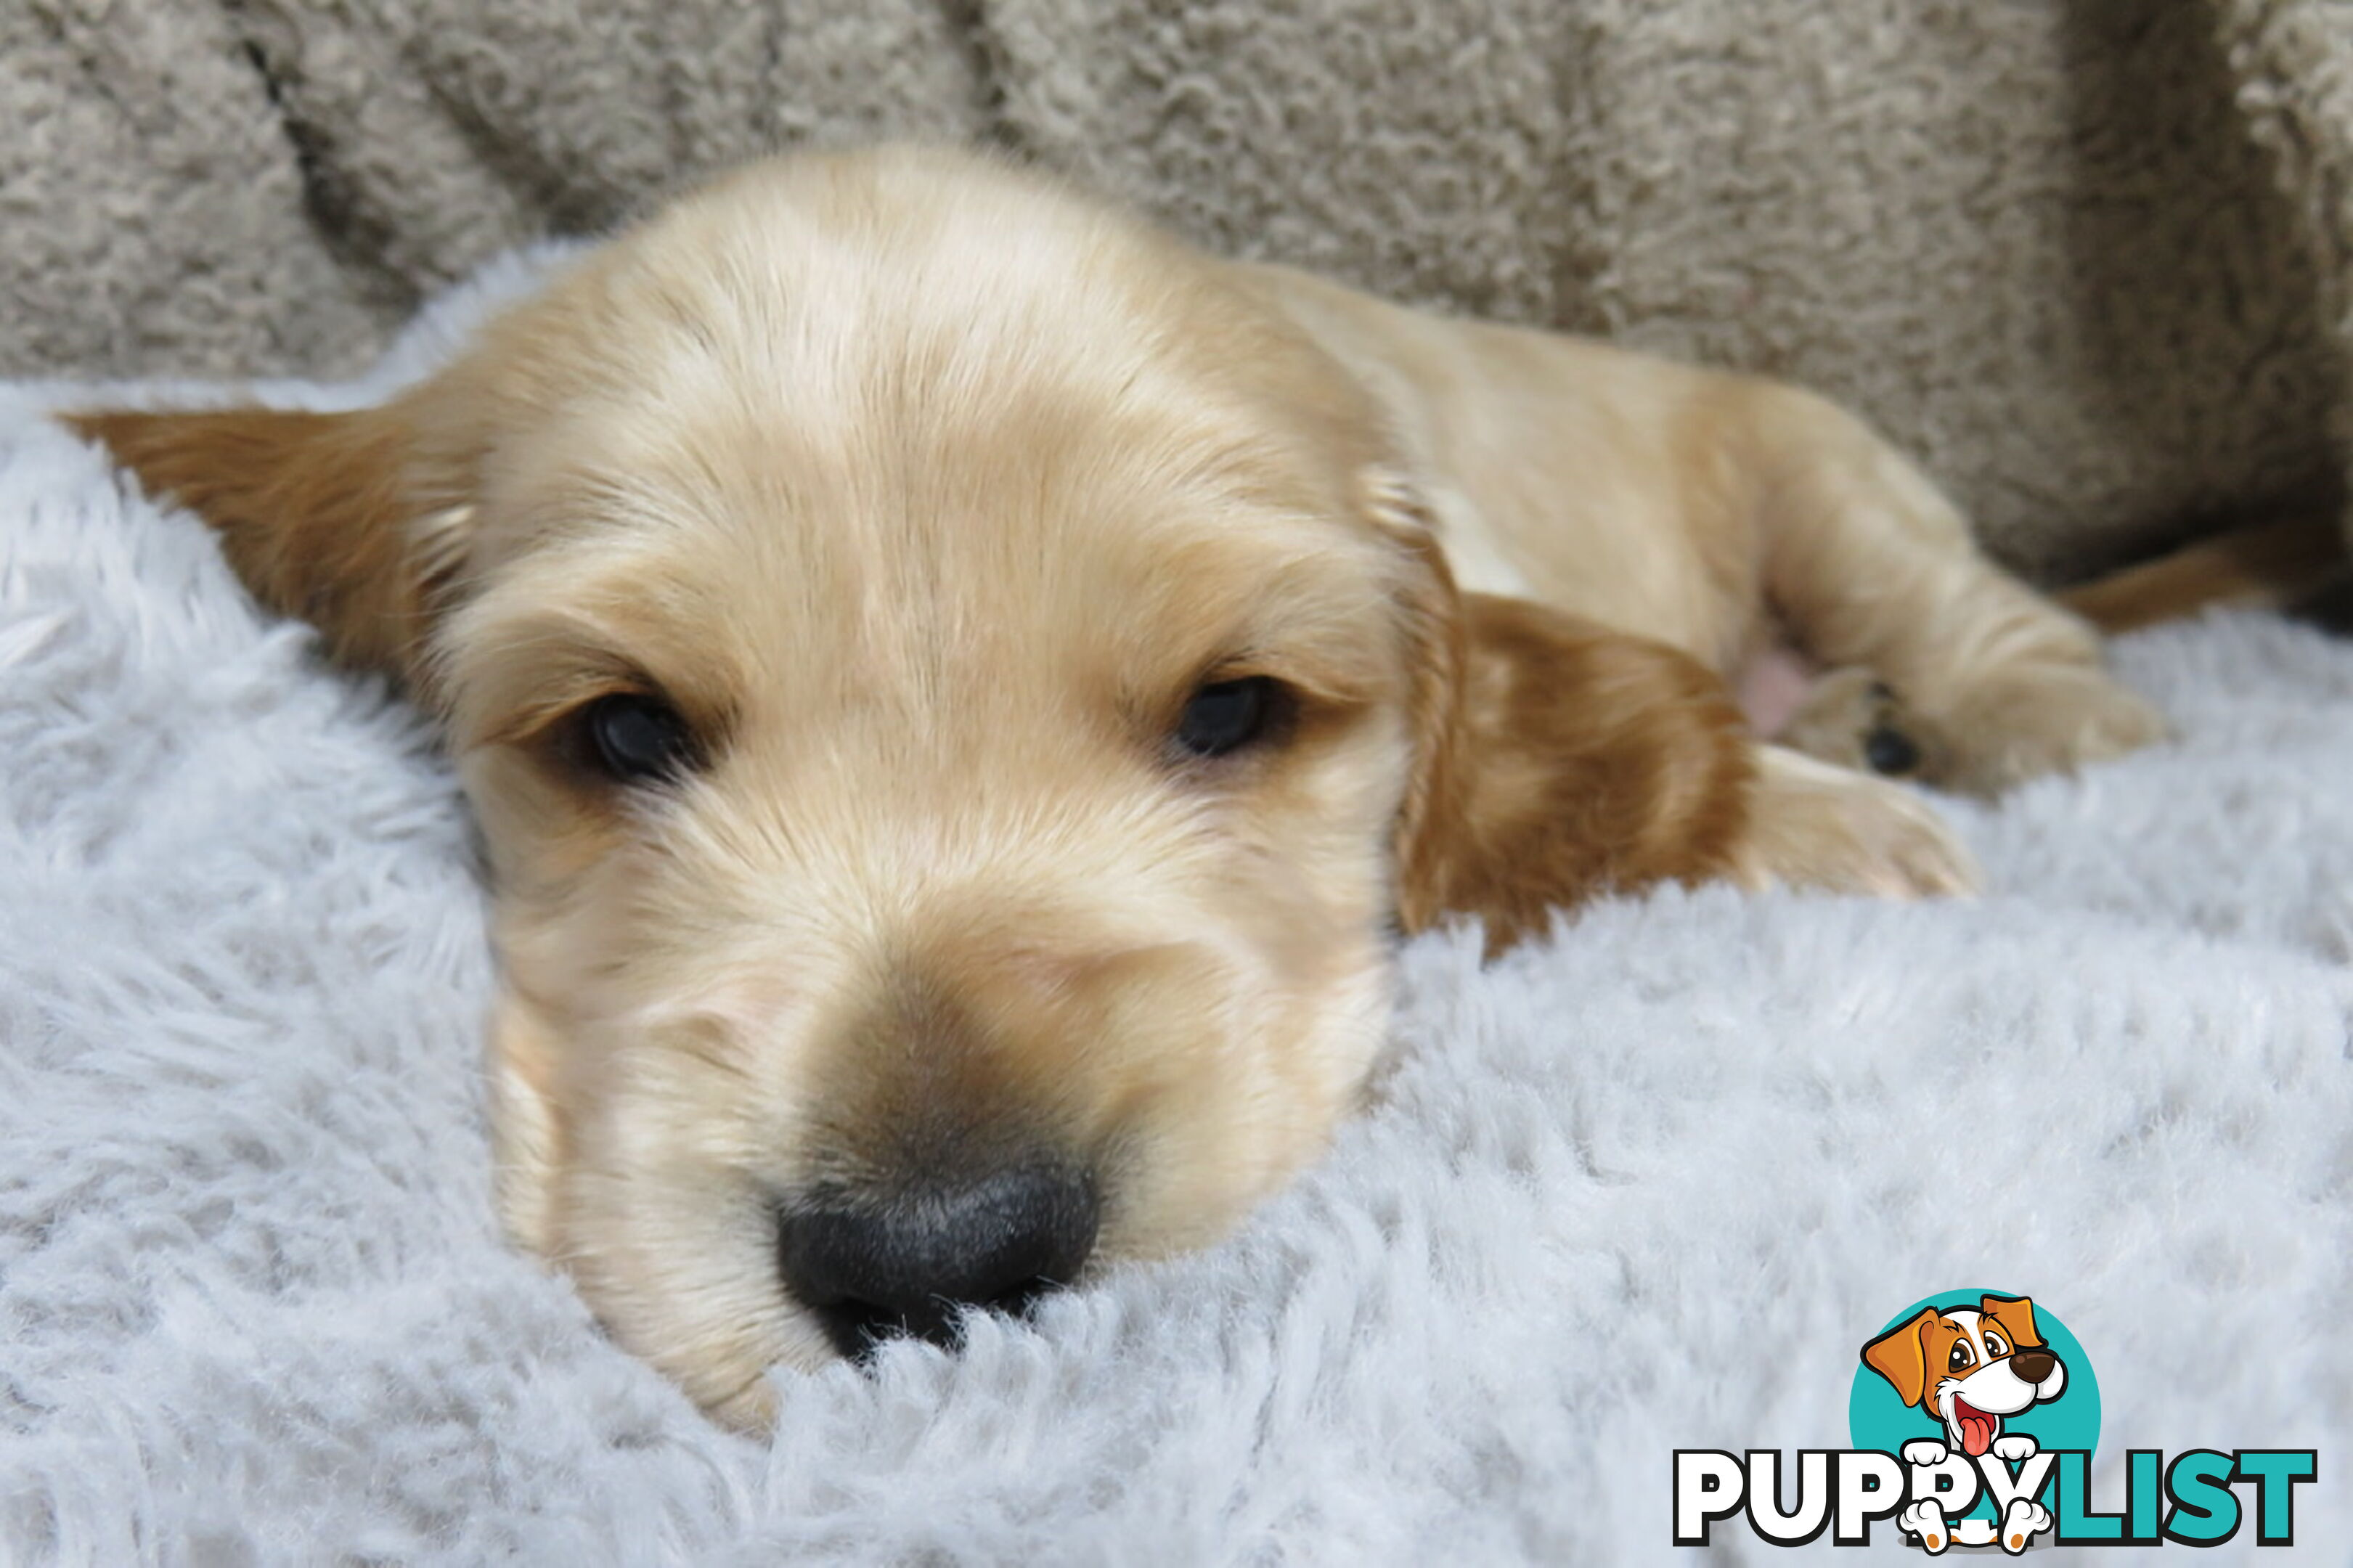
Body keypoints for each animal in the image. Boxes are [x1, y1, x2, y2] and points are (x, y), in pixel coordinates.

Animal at [64, 146, 2155, 1431]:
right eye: (623, 734)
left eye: (1233, 709)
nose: (938, 1261)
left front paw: (1847, 824)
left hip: (1826, 470)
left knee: (1982, 619)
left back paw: (2033, 735)